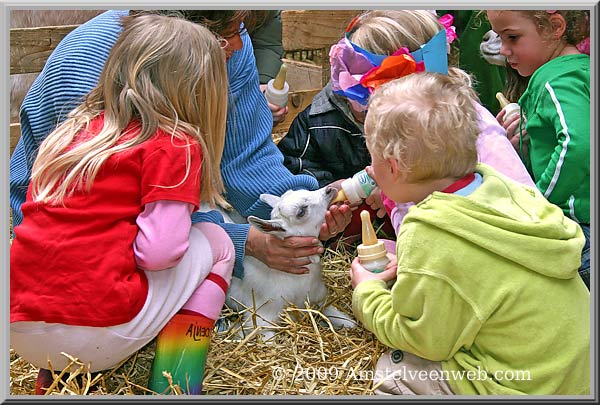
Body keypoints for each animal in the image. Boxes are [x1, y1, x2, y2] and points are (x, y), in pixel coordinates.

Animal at [225, 185, 356, 338]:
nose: (329, 189)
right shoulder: (261, 319)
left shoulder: (317, 296)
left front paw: (349, 322)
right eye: (301, 212)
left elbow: (330, 309)